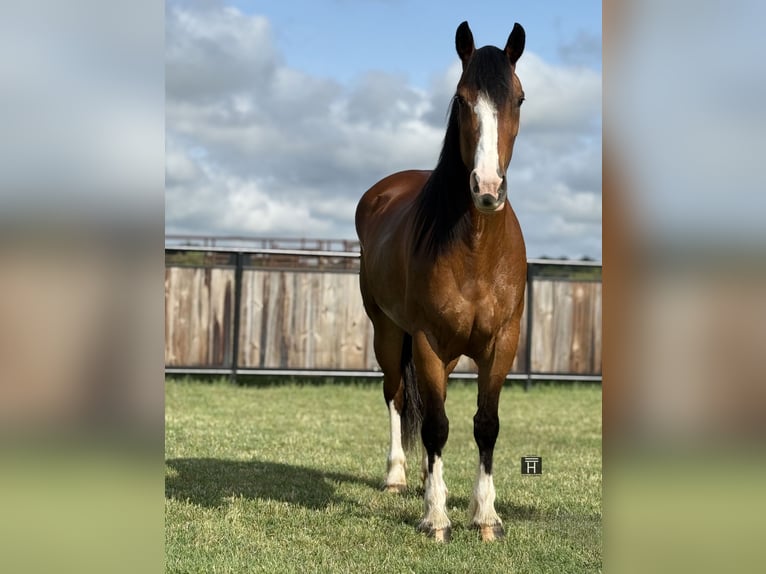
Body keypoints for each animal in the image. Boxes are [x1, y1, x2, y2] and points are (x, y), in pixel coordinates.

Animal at [355, 21, 527, 543]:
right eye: (462, 98)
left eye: (519, 98)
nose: (487, 188)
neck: (476, 251)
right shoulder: (428, 341)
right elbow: (434, 427)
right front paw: (436, 518)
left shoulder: (501, 344)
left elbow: (485, 425)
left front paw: (485, 517)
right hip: (389, 333)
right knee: (396, 396)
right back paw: (397, 477)